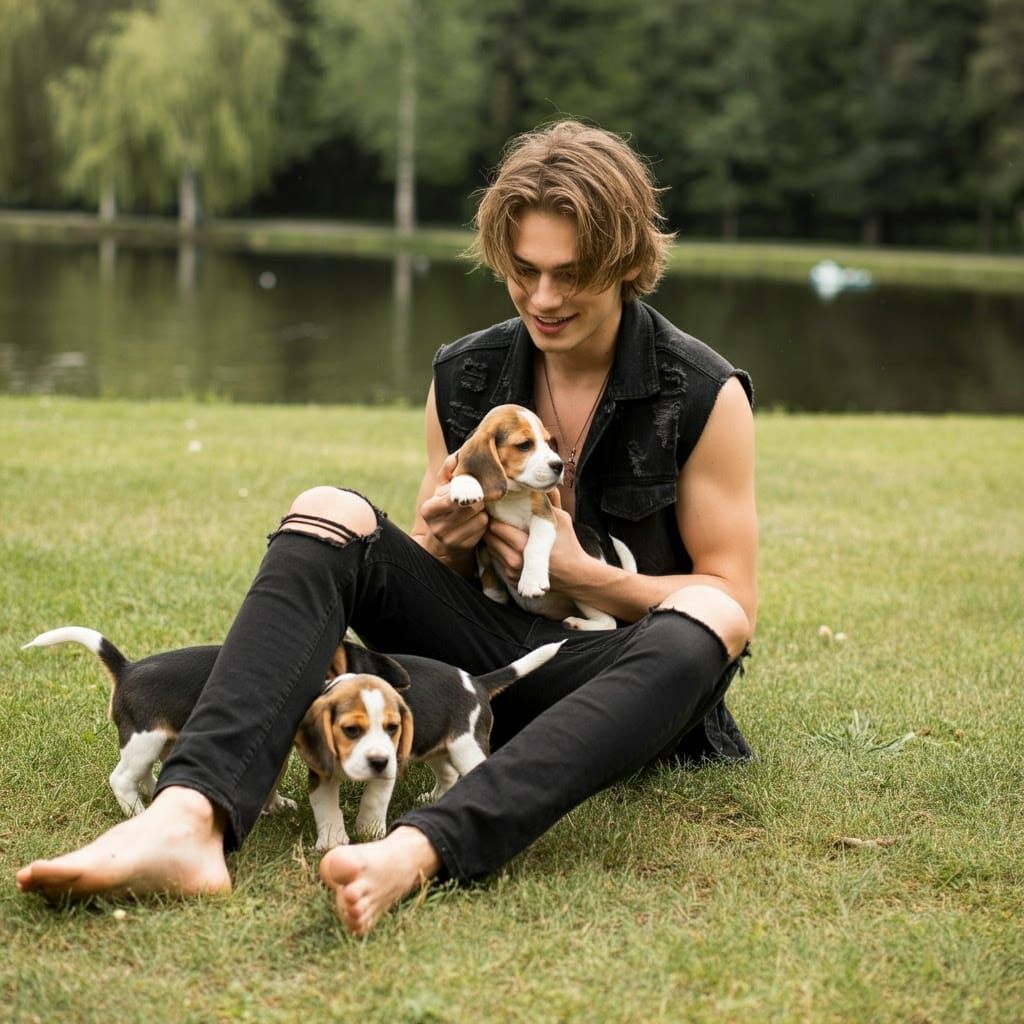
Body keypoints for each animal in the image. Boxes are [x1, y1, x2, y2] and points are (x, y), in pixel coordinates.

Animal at [448, 401, 630, 626]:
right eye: (525, 445)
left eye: (548, 442)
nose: (559, 465)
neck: (512, 495)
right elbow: (464, 470)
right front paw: (465, 485)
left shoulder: (545, 515)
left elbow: (534, 546)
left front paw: (531, 580)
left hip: (586, 588)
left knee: (609, 621)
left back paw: (576, 623)